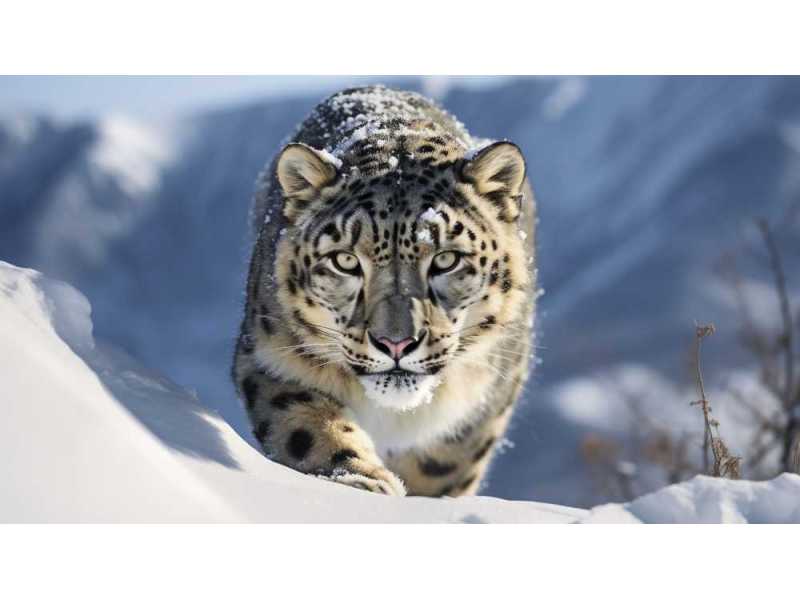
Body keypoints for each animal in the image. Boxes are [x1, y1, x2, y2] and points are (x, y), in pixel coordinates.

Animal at [232, 85, 538, 497]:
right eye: (345, 260)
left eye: (446, 259)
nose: (395, 343)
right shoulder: (271, 359)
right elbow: (307, 425)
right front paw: (364, 483)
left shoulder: (485, 402)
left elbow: (443, 469)